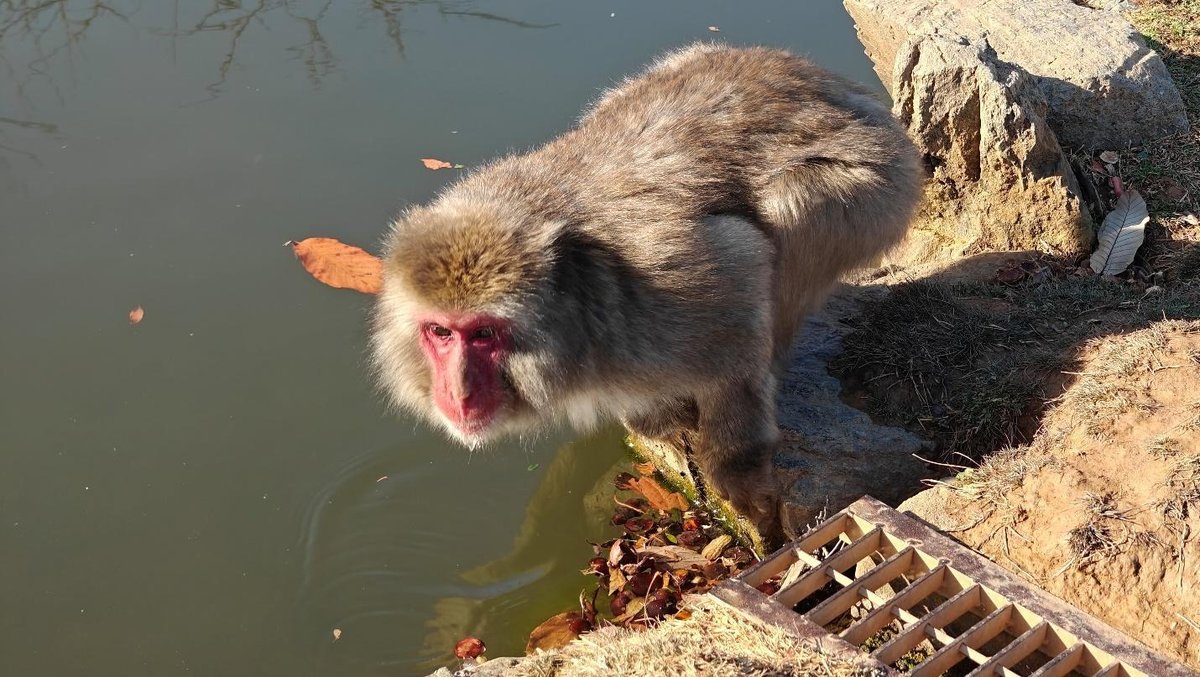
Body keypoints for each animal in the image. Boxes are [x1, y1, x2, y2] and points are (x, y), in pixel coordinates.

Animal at [370, 43, 921, 533]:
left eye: (482, 334)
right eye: (440, 332)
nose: (457, 392)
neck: (584, 302)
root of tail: (830, 80)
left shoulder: (670, 284)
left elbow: (740, 261)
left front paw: (736, 465)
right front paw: (653, 415)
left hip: (878, 189)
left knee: (790, 211)